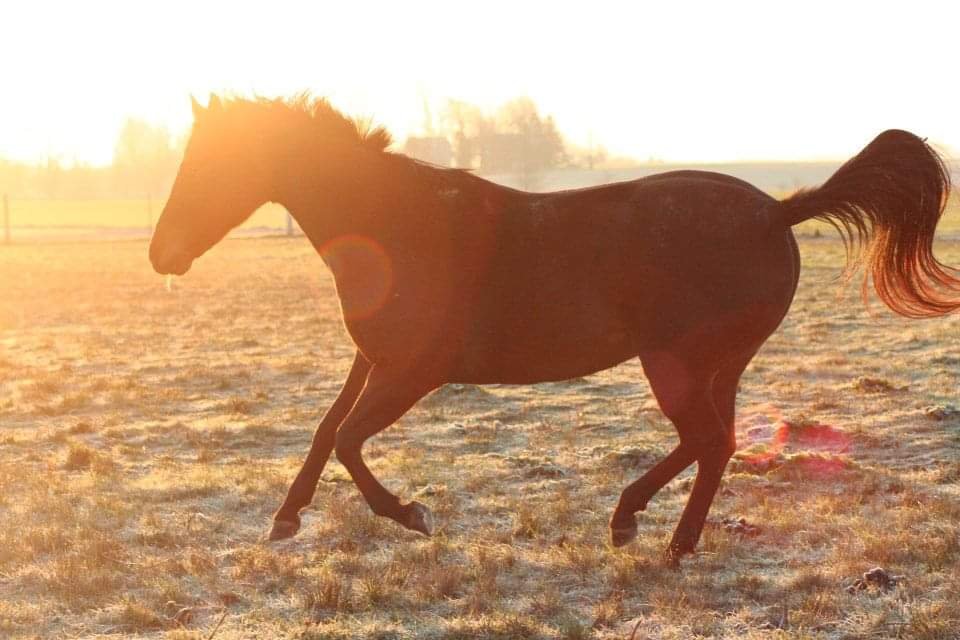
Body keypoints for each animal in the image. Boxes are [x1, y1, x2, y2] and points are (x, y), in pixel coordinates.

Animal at [149, 94, 959, 562]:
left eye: (215, 162)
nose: (162, 254)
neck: (398, 226)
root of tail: (779, 211)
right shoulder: (371, 360)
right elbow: (325, 432)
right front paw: (285, 519)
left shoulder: (412, 372)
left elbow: (349, 440)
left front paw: (410, 514)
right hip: (716, 367)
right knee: (717, 445)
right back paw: (661, 532)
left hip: (674, 362)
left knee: (708, 441)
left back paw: (644, 530)